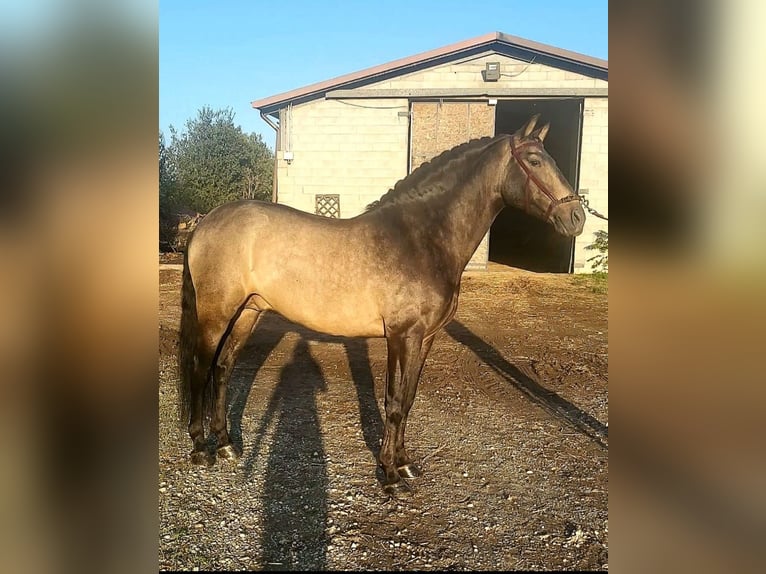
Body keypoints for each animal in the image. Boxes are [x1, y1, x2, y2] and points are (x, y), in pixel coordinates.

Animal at [180, 115, 588, 498]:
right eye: (534, 161)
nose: (576, 218)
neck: (420, 238)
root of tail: (206, 221)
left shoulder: (423, 338)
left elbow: (405, 400)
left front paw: (403, 464)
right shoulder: (402, 335)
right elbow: (392, 402)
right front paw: (390, 477)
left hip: (249, 311)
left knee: (224, 367)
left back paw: (227, 444)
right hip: (217, 313)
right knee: (201, 367)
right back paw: (200, 447)